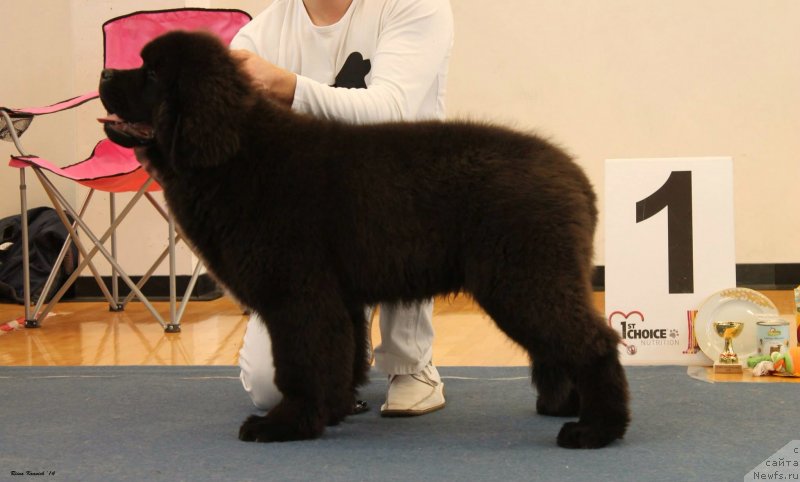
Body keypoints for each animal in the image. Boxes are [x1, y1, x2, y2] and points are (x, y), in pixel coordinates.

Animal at [97, 32, 628, 450]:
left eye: (151, 73)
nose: (103, 72)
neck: (233, 152)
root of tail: (574, 175)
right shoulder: (336, 299)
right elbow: (340, 356)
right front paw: (331, 410)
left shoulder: (297, 295)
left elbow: (299, 362)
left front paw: (286, 424)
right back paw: (567, 406)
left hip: (523, 279)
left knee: (594, 341)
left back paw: (597, 429)